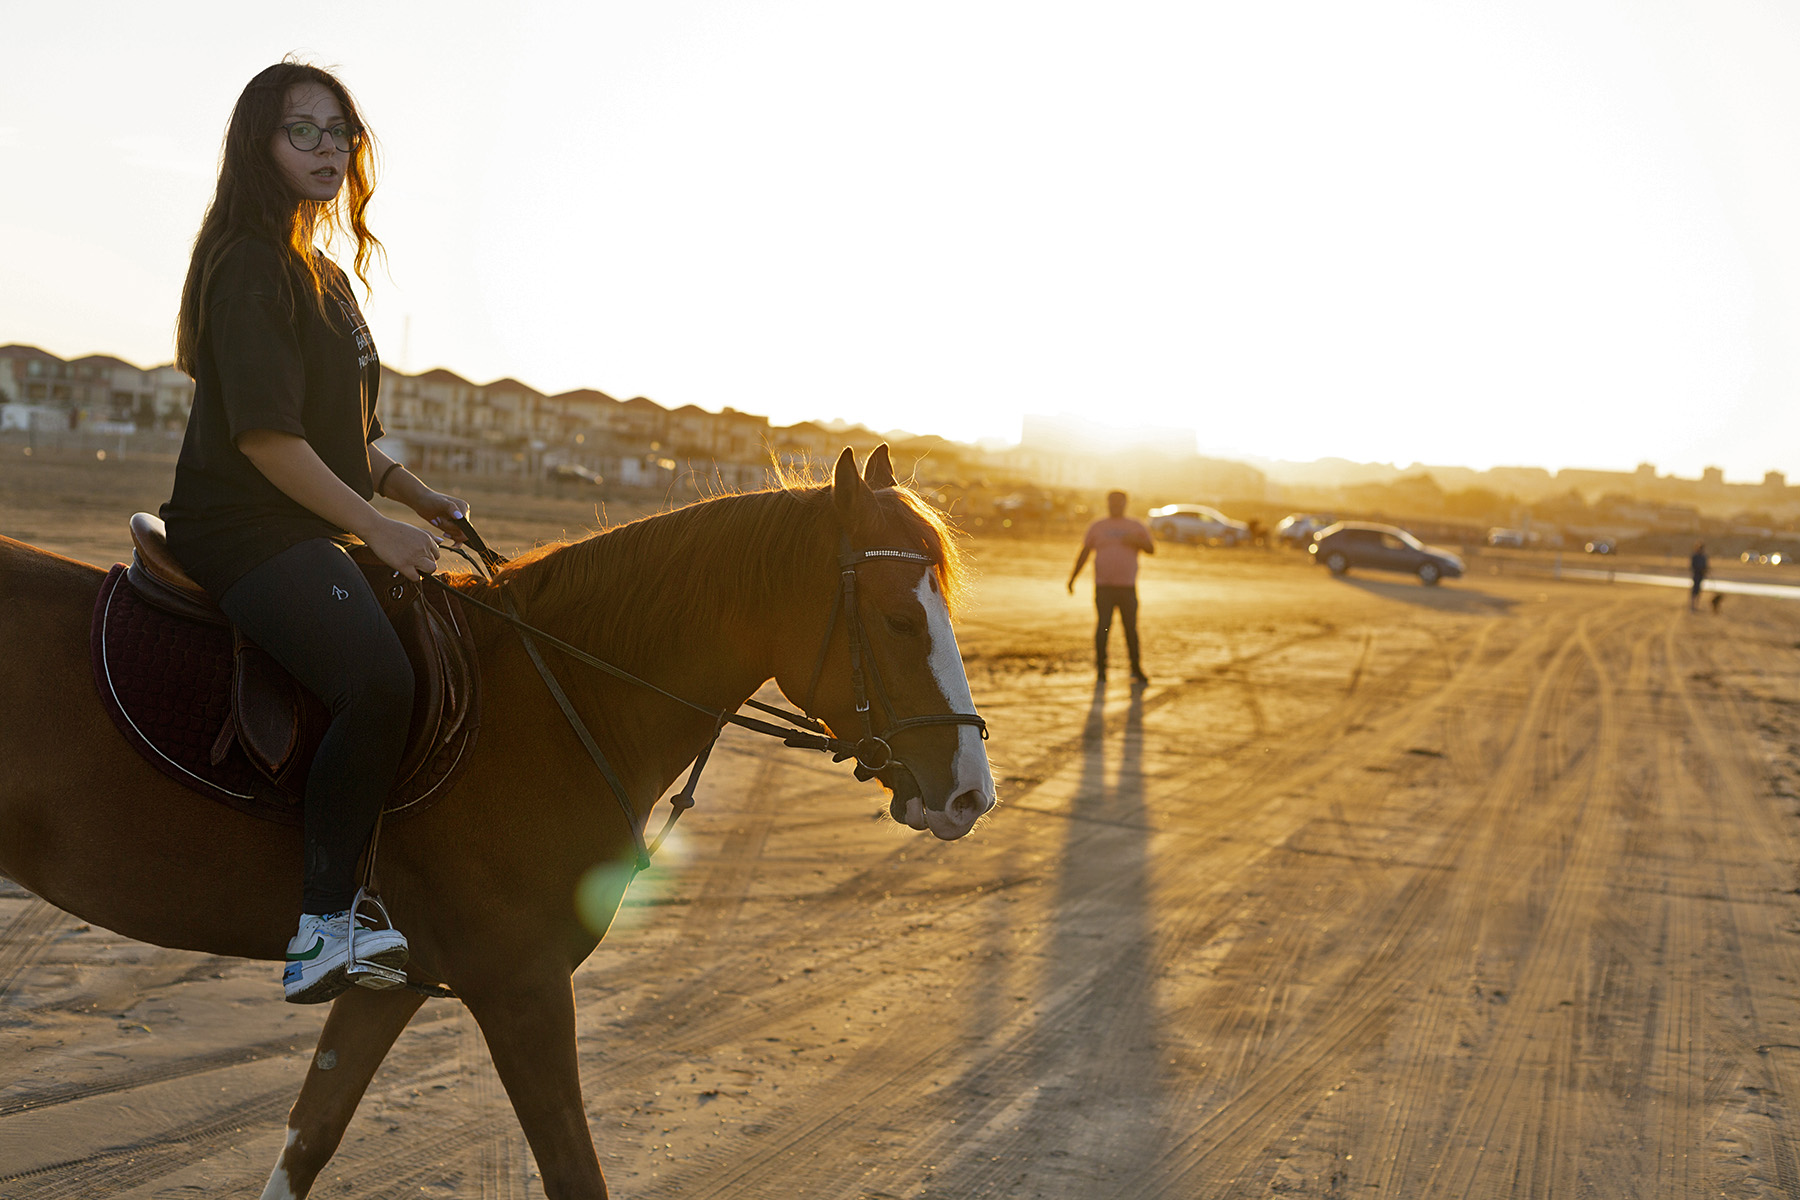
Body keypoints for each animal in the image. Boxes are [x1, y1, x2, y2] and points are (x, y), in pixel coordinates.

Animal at [0, 447, 1000, 1200]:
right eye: (898, 620)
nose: (971, 795)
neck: (558, 701)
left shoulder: (391, 983)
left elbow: (308, 1140)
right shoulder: (523, 988)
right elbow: (573, 1172)